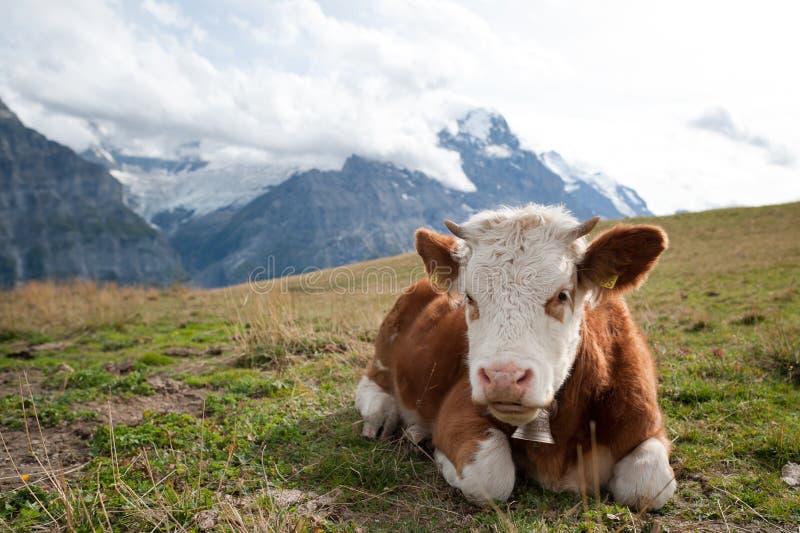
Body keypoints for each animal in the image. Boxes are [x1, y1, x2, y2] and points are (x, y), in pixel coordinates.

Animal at [354, 203, 676, 508]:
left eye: (562, 294)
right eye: (469, 297)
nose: (503, 378)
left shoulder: (646, 421)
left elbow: (648, 486)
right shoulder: (457, 410)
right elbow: (490, 474)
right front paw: (439, 455)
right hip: (383, 355)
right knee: (371, 385)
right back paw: (383, 417)